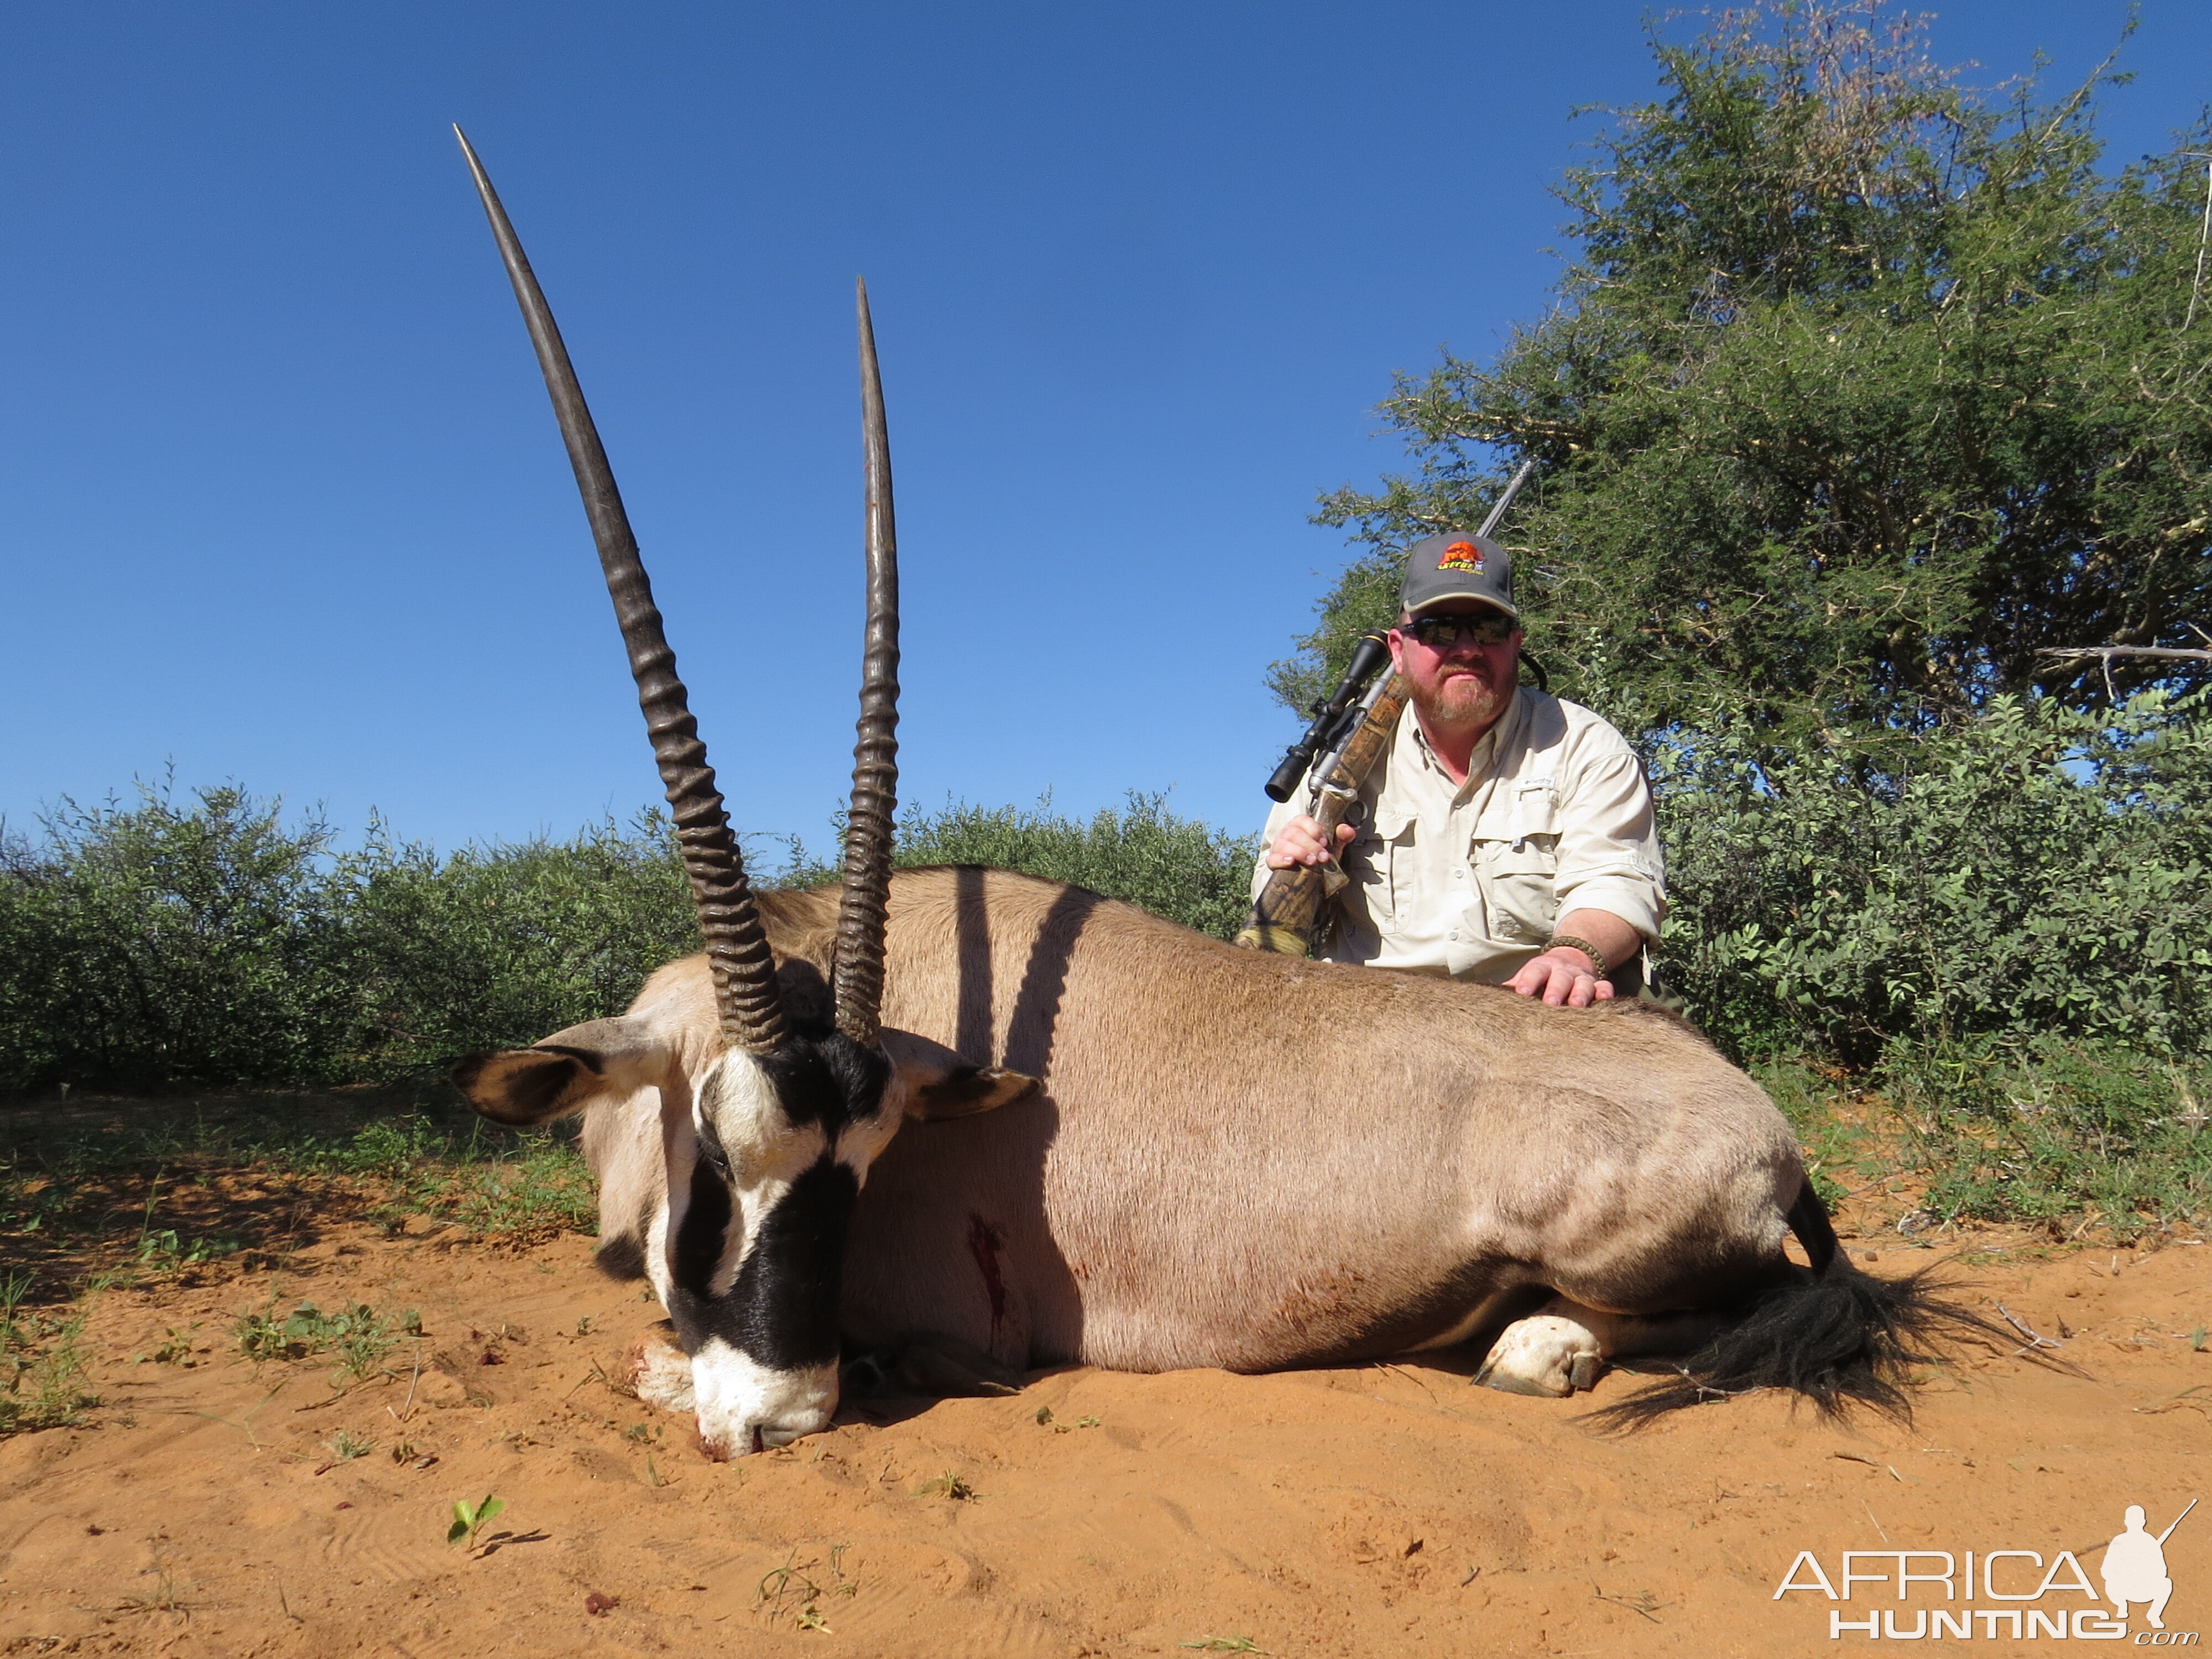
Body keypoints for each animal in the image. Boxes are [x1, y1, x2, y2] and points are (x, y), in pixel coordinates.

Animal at [449, 137, 1991, 1460]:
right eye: (717, 1157)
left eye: (864, 1165)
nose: (781, 1416)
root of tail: (1755, 1113)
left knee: (1690, 1315)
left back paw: (1533, 1344)